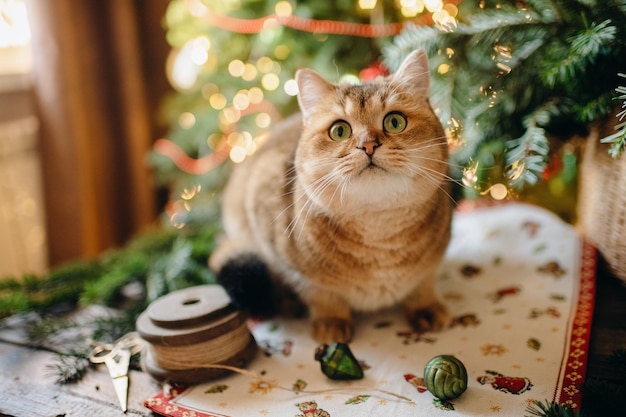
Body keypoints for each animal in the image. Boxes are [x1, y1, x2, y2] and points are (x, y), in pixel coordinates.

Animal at [212, 49, 450, 342]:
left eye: (395, 122)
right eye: (339, 130)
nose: (368, 145)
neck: (379, 232)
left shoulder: (435, 258)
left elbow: (423, 282)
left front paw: (425, 306)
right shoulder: (288, 259)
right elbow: (321, 295)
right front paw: (331, 321)